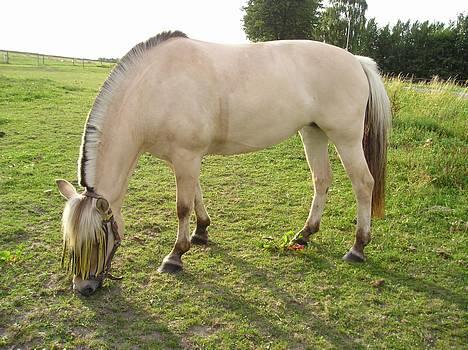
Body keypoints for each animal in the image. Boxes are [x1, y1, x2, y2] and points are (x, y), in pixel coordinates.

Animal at [54, 31, 392, 296]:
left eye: (97, 239)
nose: (83, 288)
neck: (156, 86)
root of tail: (356, 61)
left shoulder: (186, 156)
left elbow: (182, 206)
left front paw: (175, 257)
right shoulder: (184, 159)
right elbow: (196, 197)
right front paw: (201, 232)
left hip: (345, 138)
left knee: (363, 184)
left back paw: (357, 247)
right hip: (313, 133)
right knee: (321, 180)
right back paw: (304, 234)